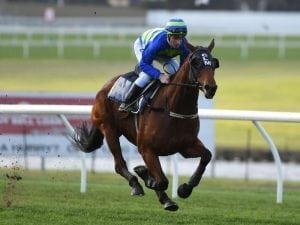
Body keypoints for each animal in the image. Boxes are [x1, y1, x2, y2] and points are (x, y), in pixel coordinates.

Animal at [74, 39, 220, 211]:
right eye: (195, 62)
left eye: (214, 63)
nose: (211, 88)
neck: (171, 108)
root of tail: (105, 87)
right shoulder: (147, 148)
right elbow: (161, 181)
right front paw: (147, 178)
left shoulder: (185, 146)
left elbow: (206, 156)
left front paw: (184, 189)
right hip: (108, 129)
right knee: (119, 164)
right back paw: (136, 185)